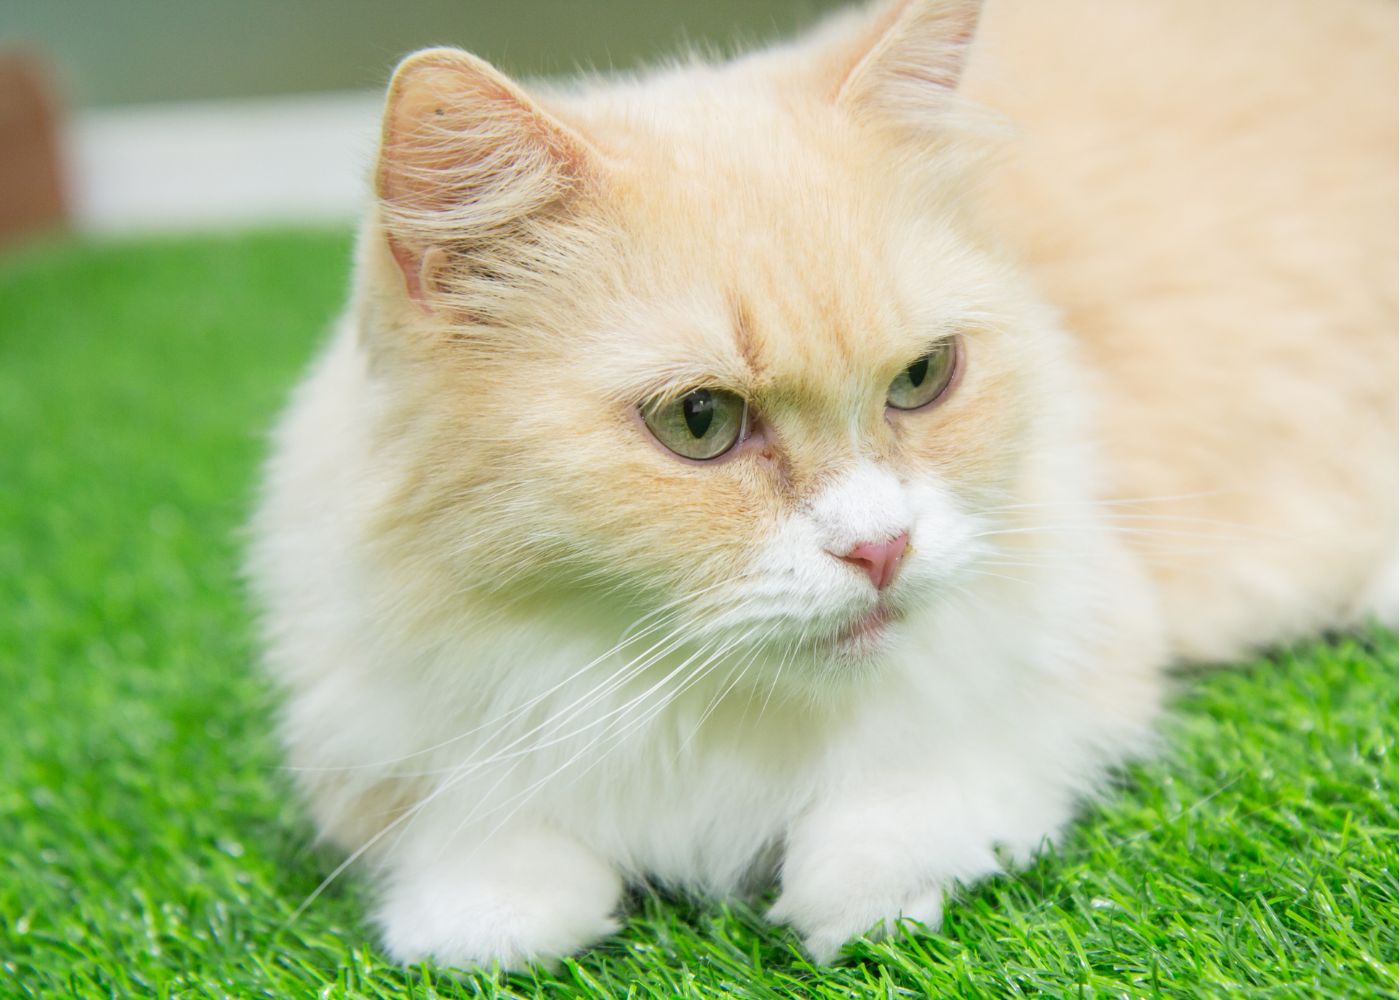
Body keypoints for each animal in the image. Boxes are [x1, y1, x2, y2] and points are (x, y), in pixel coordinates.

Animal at [246, 0, 1394, 969]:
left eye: (923, 378)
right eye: (699, 422)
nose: (882, 548)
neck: (692, 706)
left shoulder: (1083, 629)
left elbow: (914, 797)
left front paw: (849, 901)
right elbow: (488, 882)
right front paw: (486, 914)